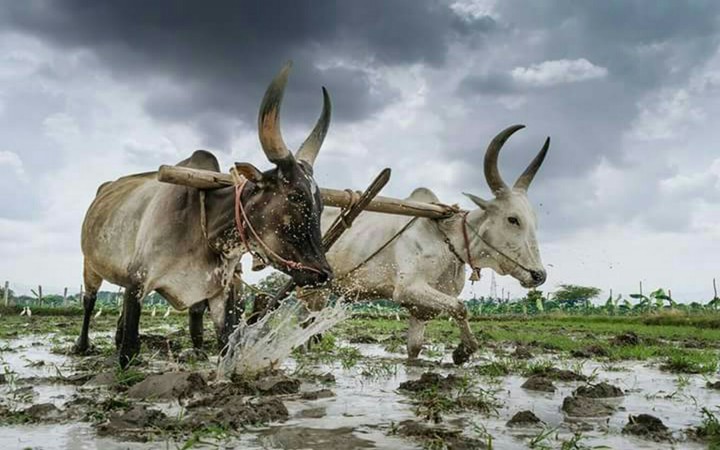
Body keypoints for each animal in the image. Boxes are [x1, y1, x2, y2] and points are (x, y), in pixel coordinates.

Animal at [74, 63, 334, 368]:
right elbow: (128, 349)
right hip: (90, 265)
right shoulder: (138, 281)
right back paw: (82, 345)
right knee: (89, 301)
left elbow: (225, 344)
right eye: (295, 196)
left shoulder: (221, 295)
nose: (324, 274)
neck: (203, 229)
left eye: (321, 205)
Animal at [298, 125, 550, 365]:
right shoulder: (409, 288)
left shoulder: (421, 309)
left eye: (535, 221)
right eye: (513, 219)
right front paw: (463, 352)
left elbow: (415, 348)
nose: (539, 275)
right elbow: (461, 307)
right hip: (311, 289)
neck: (448, 243)